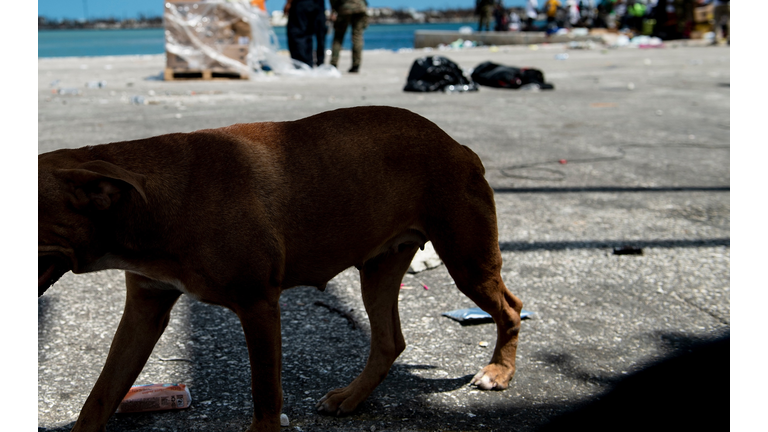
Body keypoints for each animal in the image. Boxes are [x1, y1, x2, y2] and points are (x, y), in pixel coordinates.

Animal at [39, 106, 524, 432]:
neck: (150, 201)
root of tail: (456, 144)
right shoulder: (145, 308)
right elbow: (101, 394)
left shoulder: (258, 306)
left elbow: (266, 393)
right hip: (380, 269)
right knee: (390, 341)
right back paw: (353, 396)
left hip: (468, 261)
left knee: (511, 309)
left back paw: (498, 371)